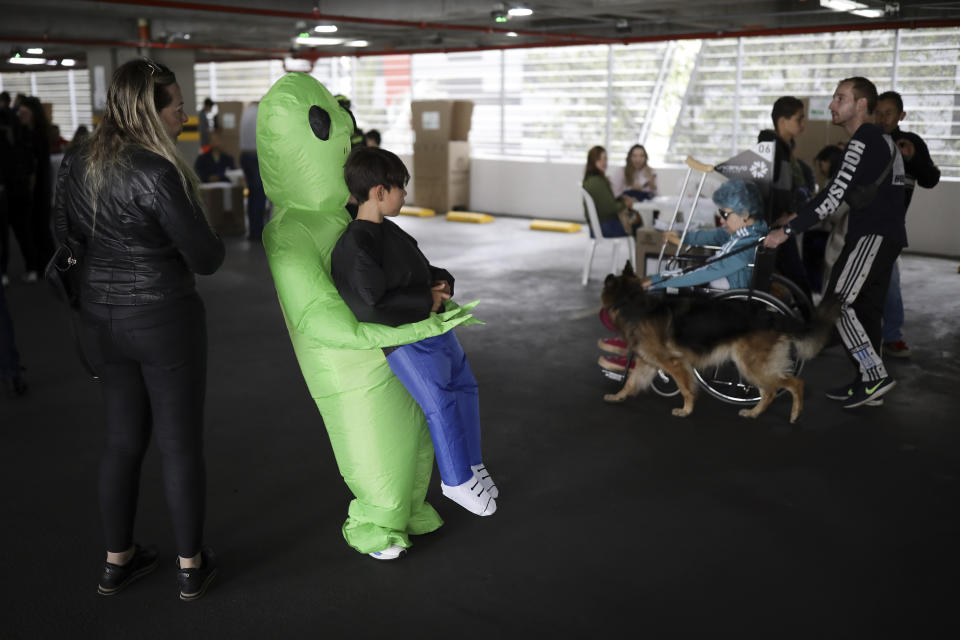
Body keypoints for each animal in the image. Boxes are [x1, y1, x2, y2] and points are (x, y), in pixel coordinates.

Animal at [604, 262, 836, 422]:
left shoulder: (674, 363)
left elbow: (685, 388)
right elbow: (631, 381)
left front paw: (686, 410)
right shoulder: (648, 362)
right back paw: (754, 413)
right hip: (751, 366)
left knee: (794, 383)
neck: (632, 302)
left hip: (750, 365)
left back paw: (795, 414)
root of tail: (774, 316)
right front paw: (617, 396)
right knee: (769, 391)